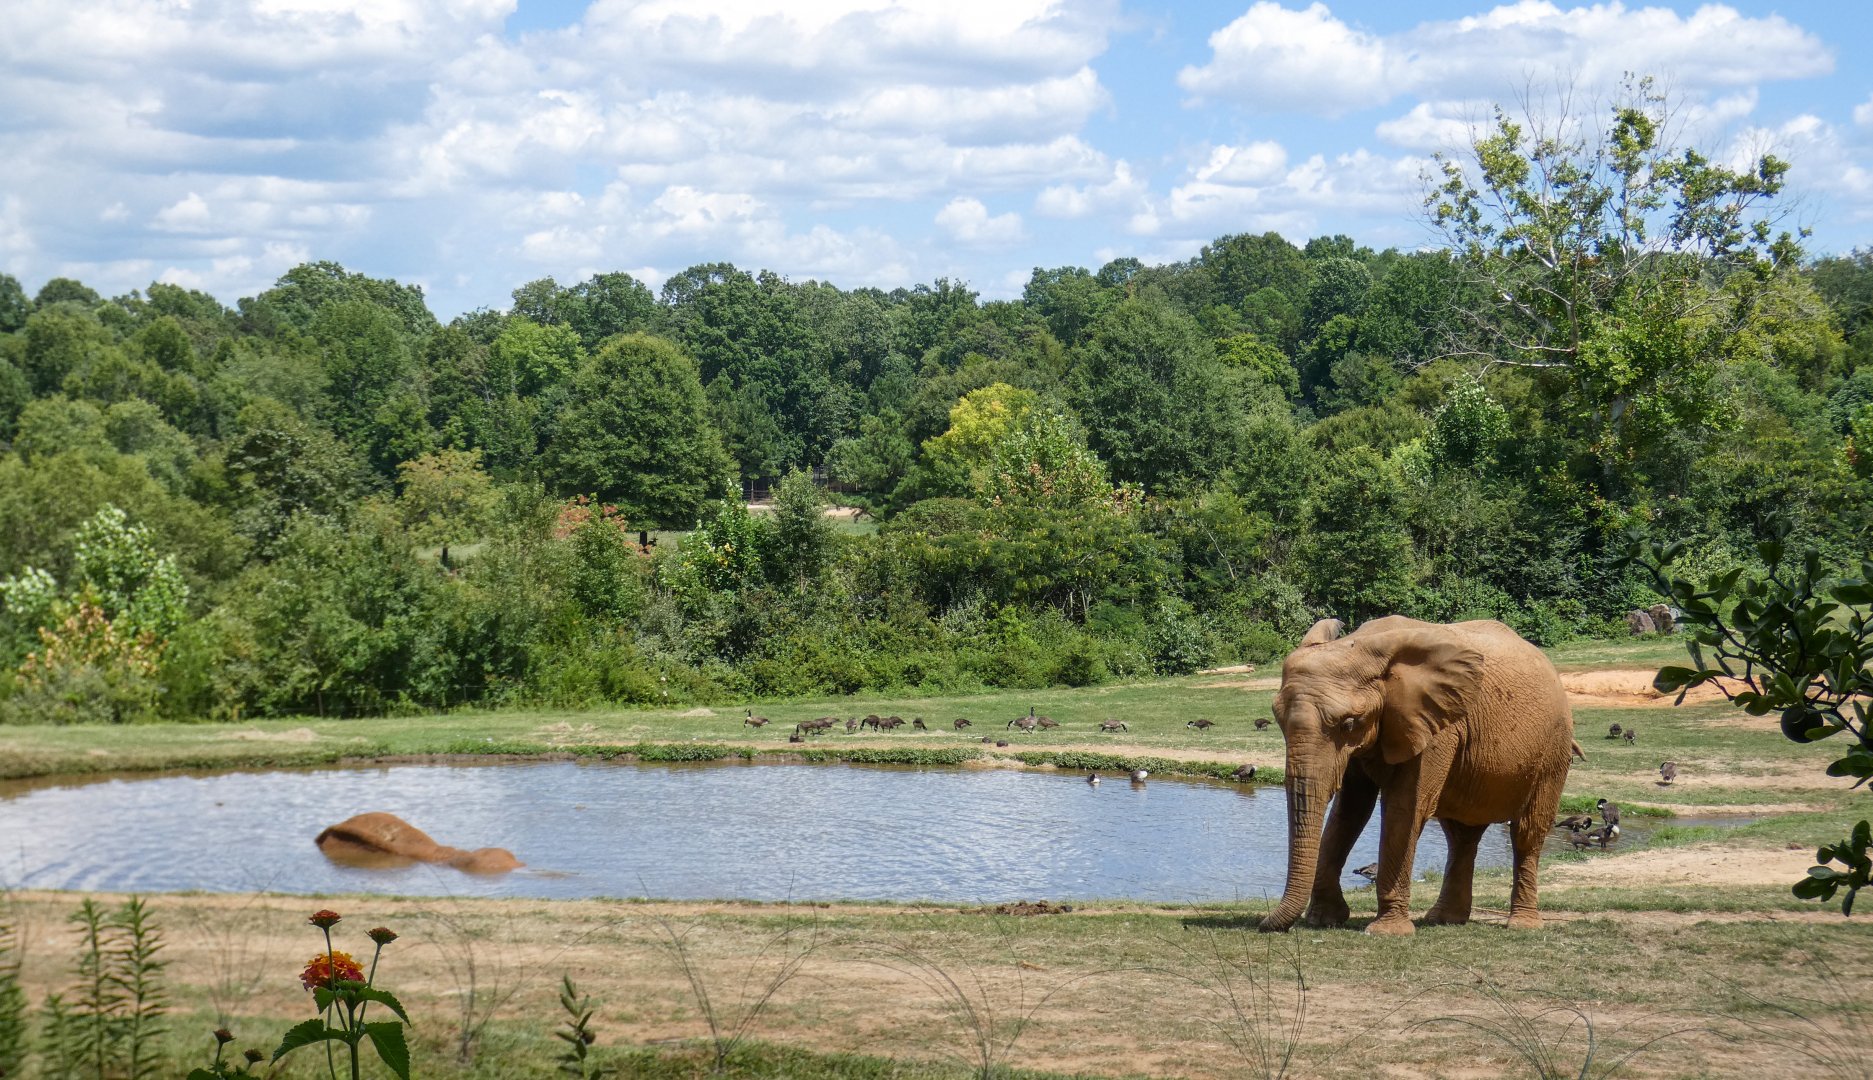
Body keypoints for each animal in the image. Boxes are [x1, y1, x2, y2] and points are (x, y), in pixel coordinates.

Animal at [1259, 616, 1574, 936]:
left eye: (1348, 723)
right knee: (1461, 836)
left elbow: (1404, 809)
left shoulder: (1438, 728)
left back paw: (1522, 924)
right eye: (1278, 720)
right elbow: (1350, 809)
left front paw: (1386, 932)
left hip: (1554, 749)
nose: (1263, 924)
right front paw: (1324, 919)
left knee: (1527, 833)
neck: (1363, 645)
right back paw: (1444, 919)